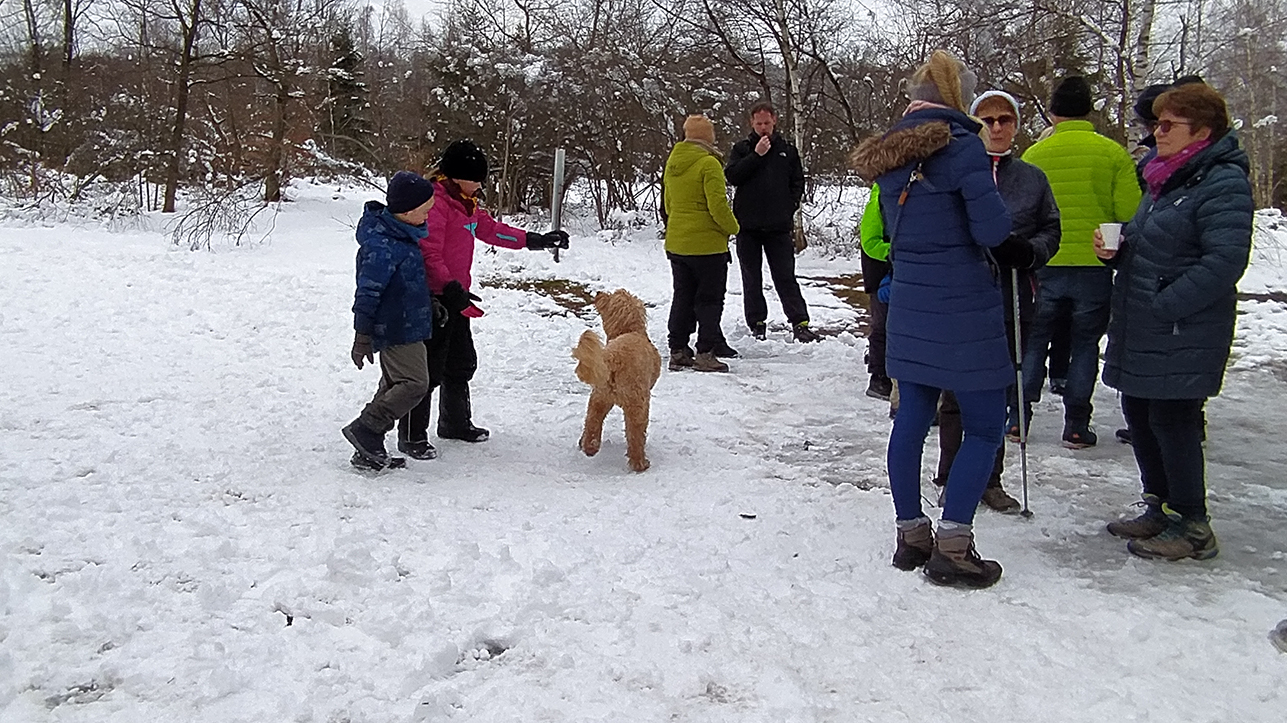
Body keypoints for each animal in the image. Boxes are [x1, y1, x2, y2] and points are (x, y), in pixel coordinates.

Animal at [579, 289, 669, 470]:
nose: (598, 292)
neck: (629, 331)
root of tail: (614, 356)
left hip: (599, 396)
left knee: (592, 420)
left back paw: (590, 447)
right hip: (637, 402)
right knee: (635, 433)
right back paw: (640, 463)